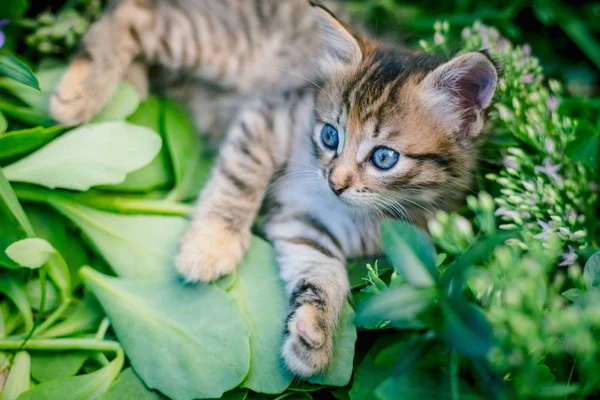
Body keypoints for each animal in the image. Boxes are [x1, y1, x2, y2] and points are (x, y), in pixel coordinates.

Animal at [51, 0, 500, 378]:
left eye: (384, 158)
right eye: (330, 135)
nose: (334, 182)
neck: (346, 209)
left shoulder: (307, 227)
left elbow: (322, 272)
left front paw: (314, 336)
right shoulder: (269, 118)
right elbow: (238, 181)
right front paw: (211, 245)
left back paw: (132, 90)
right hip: (222, 42)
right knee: (136, 14)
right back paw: (80, 95)